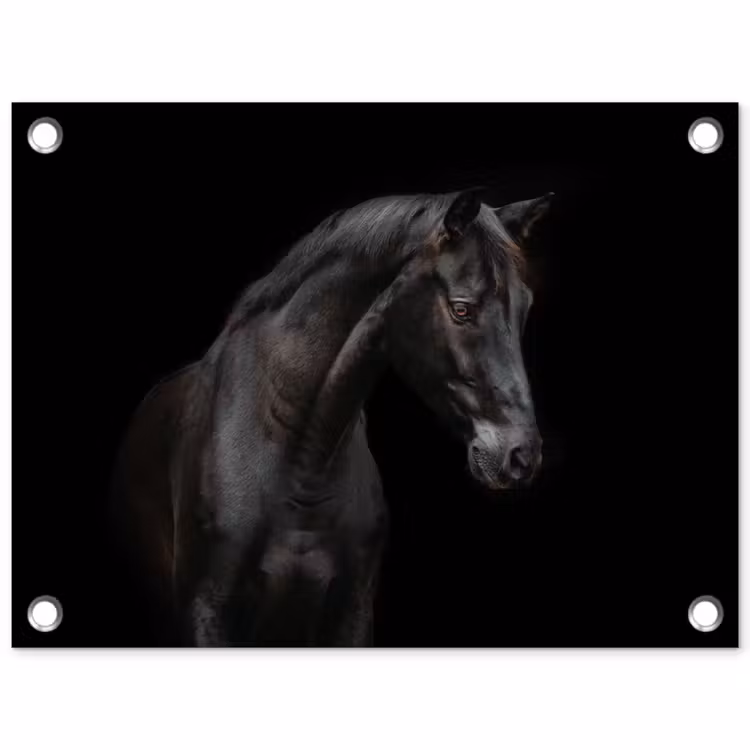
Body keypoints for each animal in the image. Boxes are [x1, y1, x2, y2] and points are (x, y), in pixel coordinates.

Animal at [110, 188, 553, 646]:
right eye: (462, 309)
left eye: (525, 307)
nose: (521, 455)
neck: (299, 461)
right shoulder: (207, 612)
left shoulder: (351, 612)